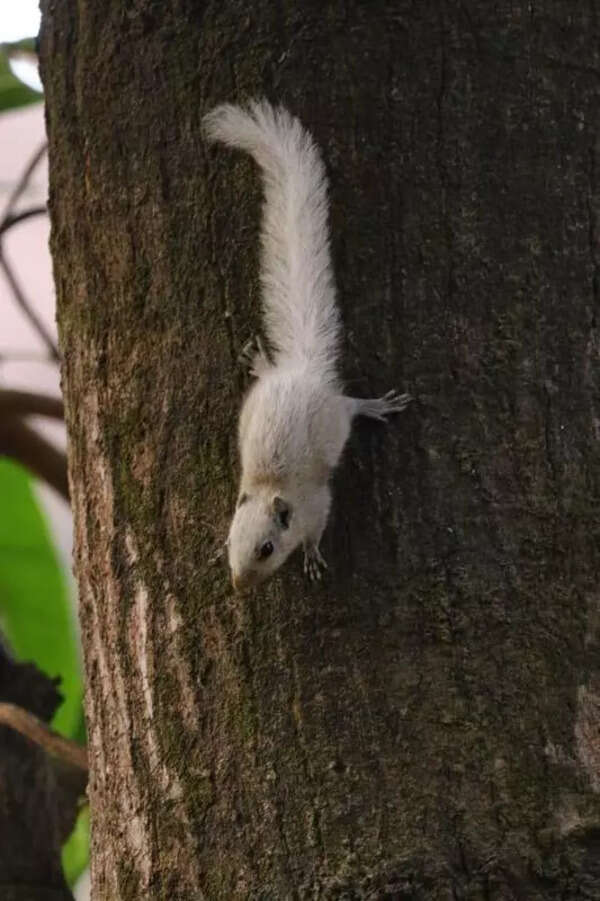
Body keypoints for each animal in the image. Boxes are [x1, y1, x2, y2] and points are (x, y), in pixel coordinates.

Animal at [203, 100, 411, 591]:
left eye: (266, 549)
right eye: (231, 541)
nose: (239, 585)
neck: (268, 488)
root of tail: (303, 367)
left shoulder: (318, 505)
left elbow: (317, 530)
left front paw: (313, 556)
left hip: (334, 418)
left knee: (350, 406)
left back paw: (376, 406)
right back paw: (261, 362)